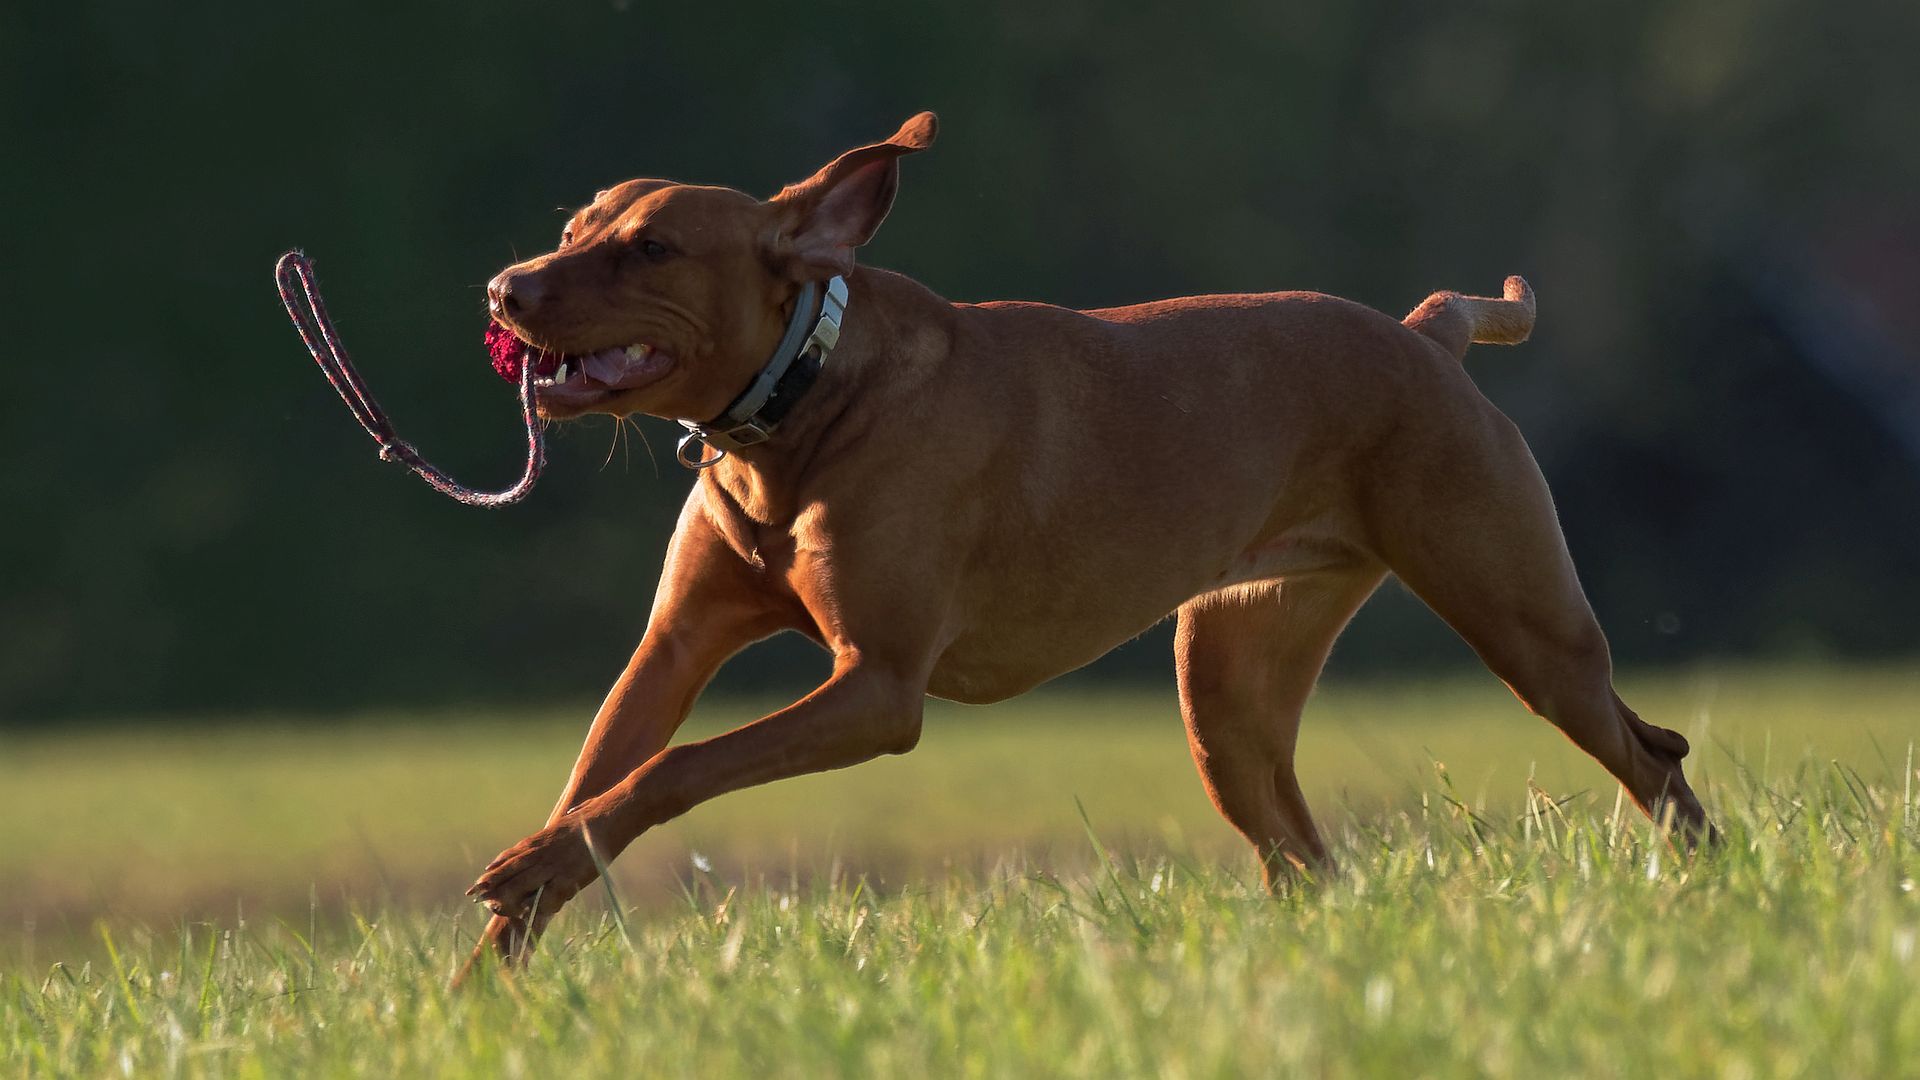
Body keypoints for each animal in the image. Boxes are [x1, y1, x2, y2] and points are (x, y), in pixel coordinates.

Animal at [460, 111, 1712, 976]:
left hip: (1524, 622)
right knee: (1305, 857)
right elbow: (599, 779)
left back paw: (1704, 890)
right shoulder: (673, 649)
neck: (800, 408)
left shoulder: (877, 688)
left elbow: (680, 767)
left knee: (1651, 751)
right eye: (572, 232)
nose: (503, 285)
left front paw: (521, 877)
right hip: (1228, 689)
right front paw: (492, 969)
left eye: (653, 249)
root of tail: (1426, 334)